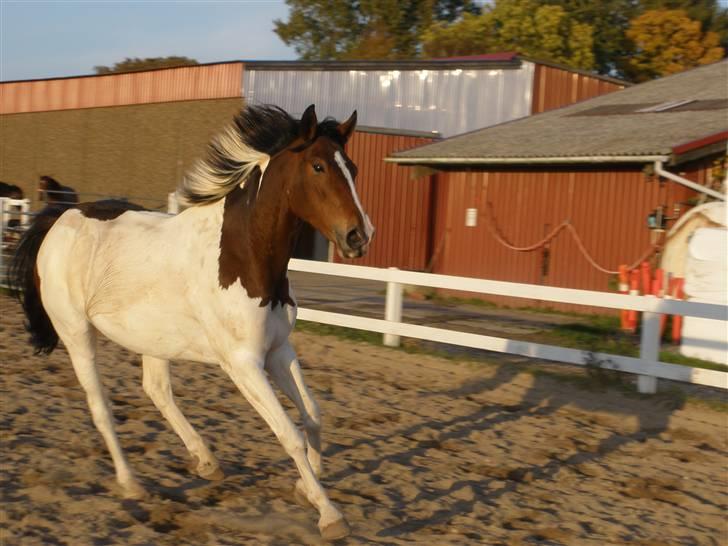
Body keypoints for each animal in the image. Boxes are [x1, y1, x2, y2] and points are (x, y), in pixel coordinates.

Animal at [10, 104, 372, 536]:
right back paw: (131, 482)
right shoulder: (243, 363)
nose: (359, 236)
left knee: (156, 390)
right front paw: (330, 515)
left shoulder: (279, 350)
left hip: (152, 338)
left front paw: (306, 488)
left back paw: (206, 461)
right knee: (101, 407)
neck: (243, 255)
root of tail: (59, 218)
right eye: (317, 166)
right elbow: (289, 434)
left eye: (352, 167)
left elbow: (313, 416)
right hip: (76, 333)